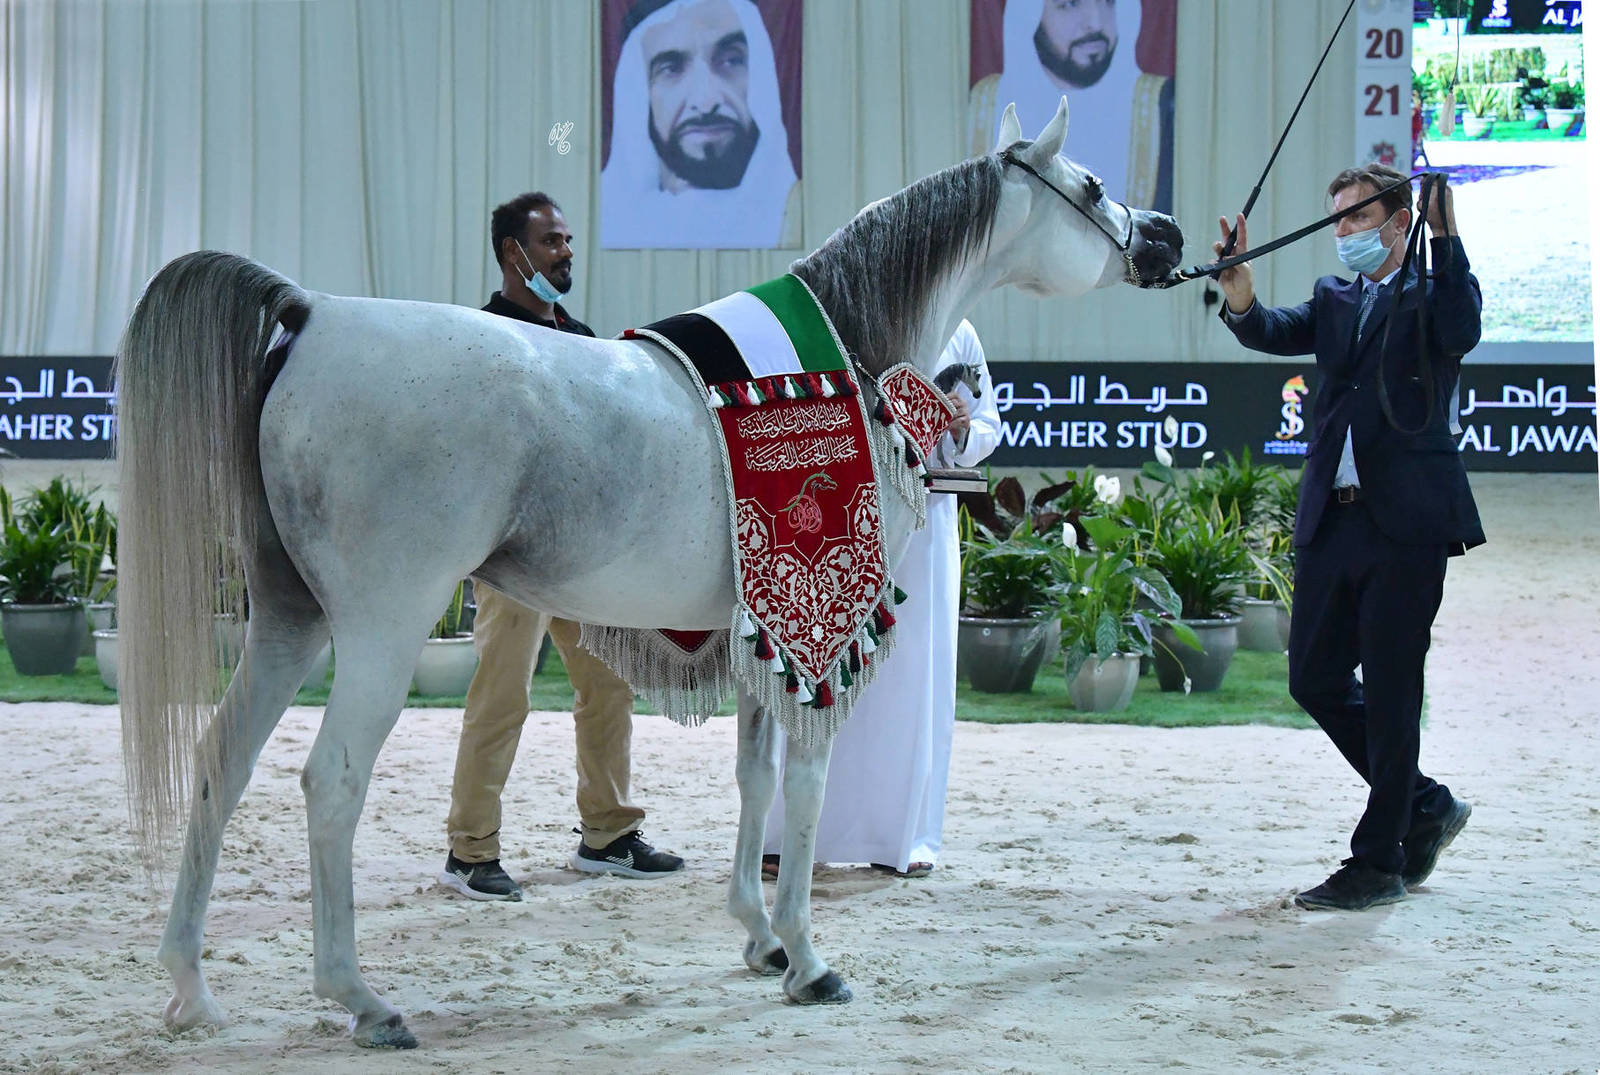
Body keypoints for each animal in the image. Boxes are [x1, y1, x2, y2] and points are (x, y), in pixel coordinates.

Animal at [114, 98, 1183, 1049]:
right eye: (1093, 185)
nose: (1166, 236)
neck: (843, 360)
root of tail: (316, 313)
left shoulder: (763, 631)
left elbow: (756, 778)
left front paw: (759, 939)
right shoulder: (815, 632)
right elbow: (806, 786)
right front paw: (810, 957)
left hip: (286, 615)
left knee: (219, 762)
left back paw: (189, 989)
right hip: (384, 623)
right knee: (330, 778)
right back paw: (363, 1000)